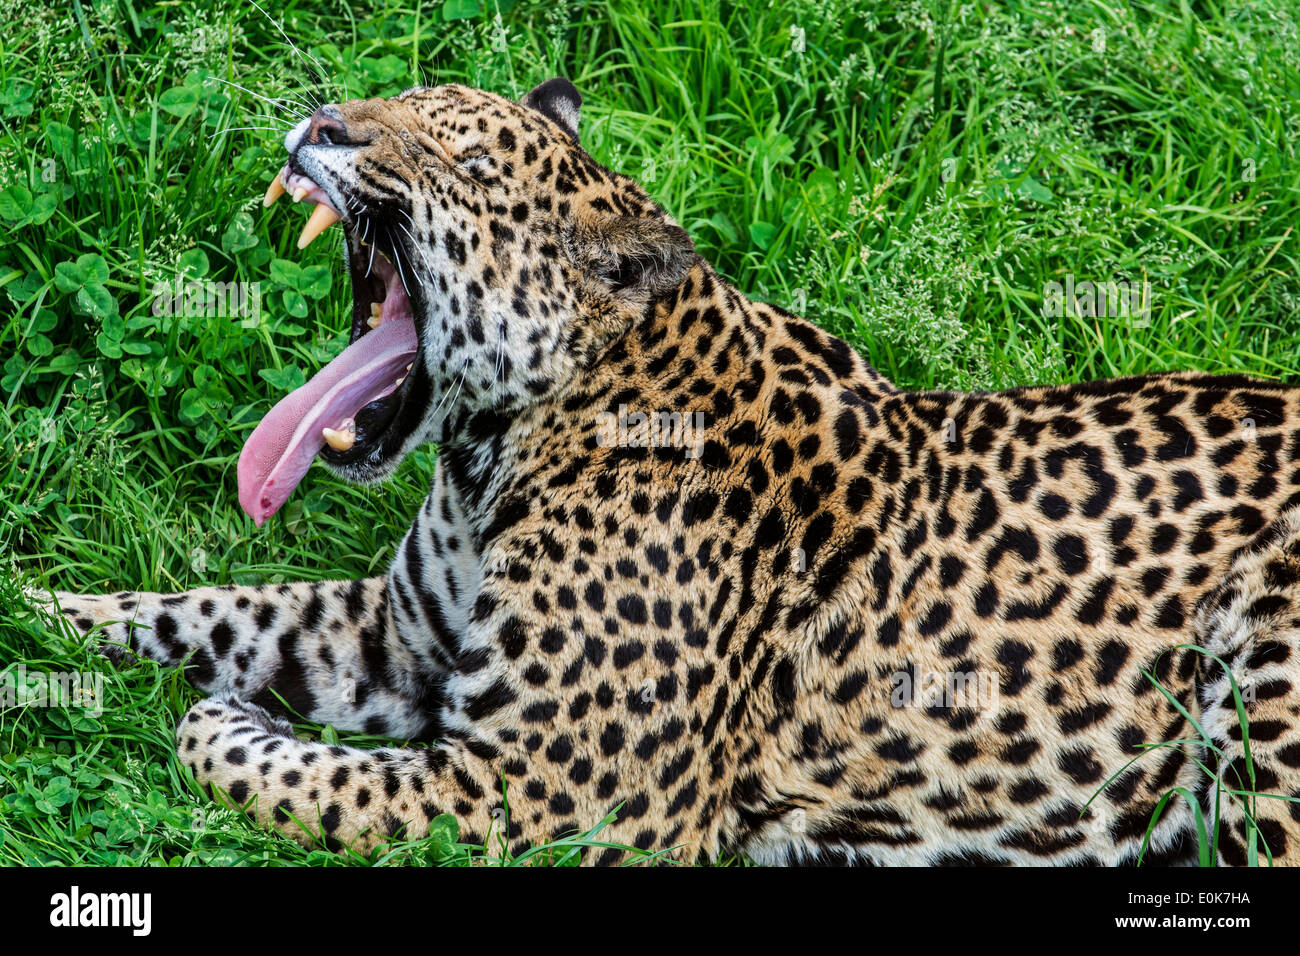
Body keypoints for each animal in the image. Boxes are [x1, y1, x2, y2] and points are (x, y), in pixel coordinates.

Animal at [46, 77, 1300, 866]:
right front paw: (47, 610)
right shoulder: (394, 634)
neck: (494, 456)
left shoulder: (534, 790)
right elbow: (214, 607)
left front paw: (223, 717)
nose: (318, 122)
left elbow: (293, 771)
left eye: (455, 154)